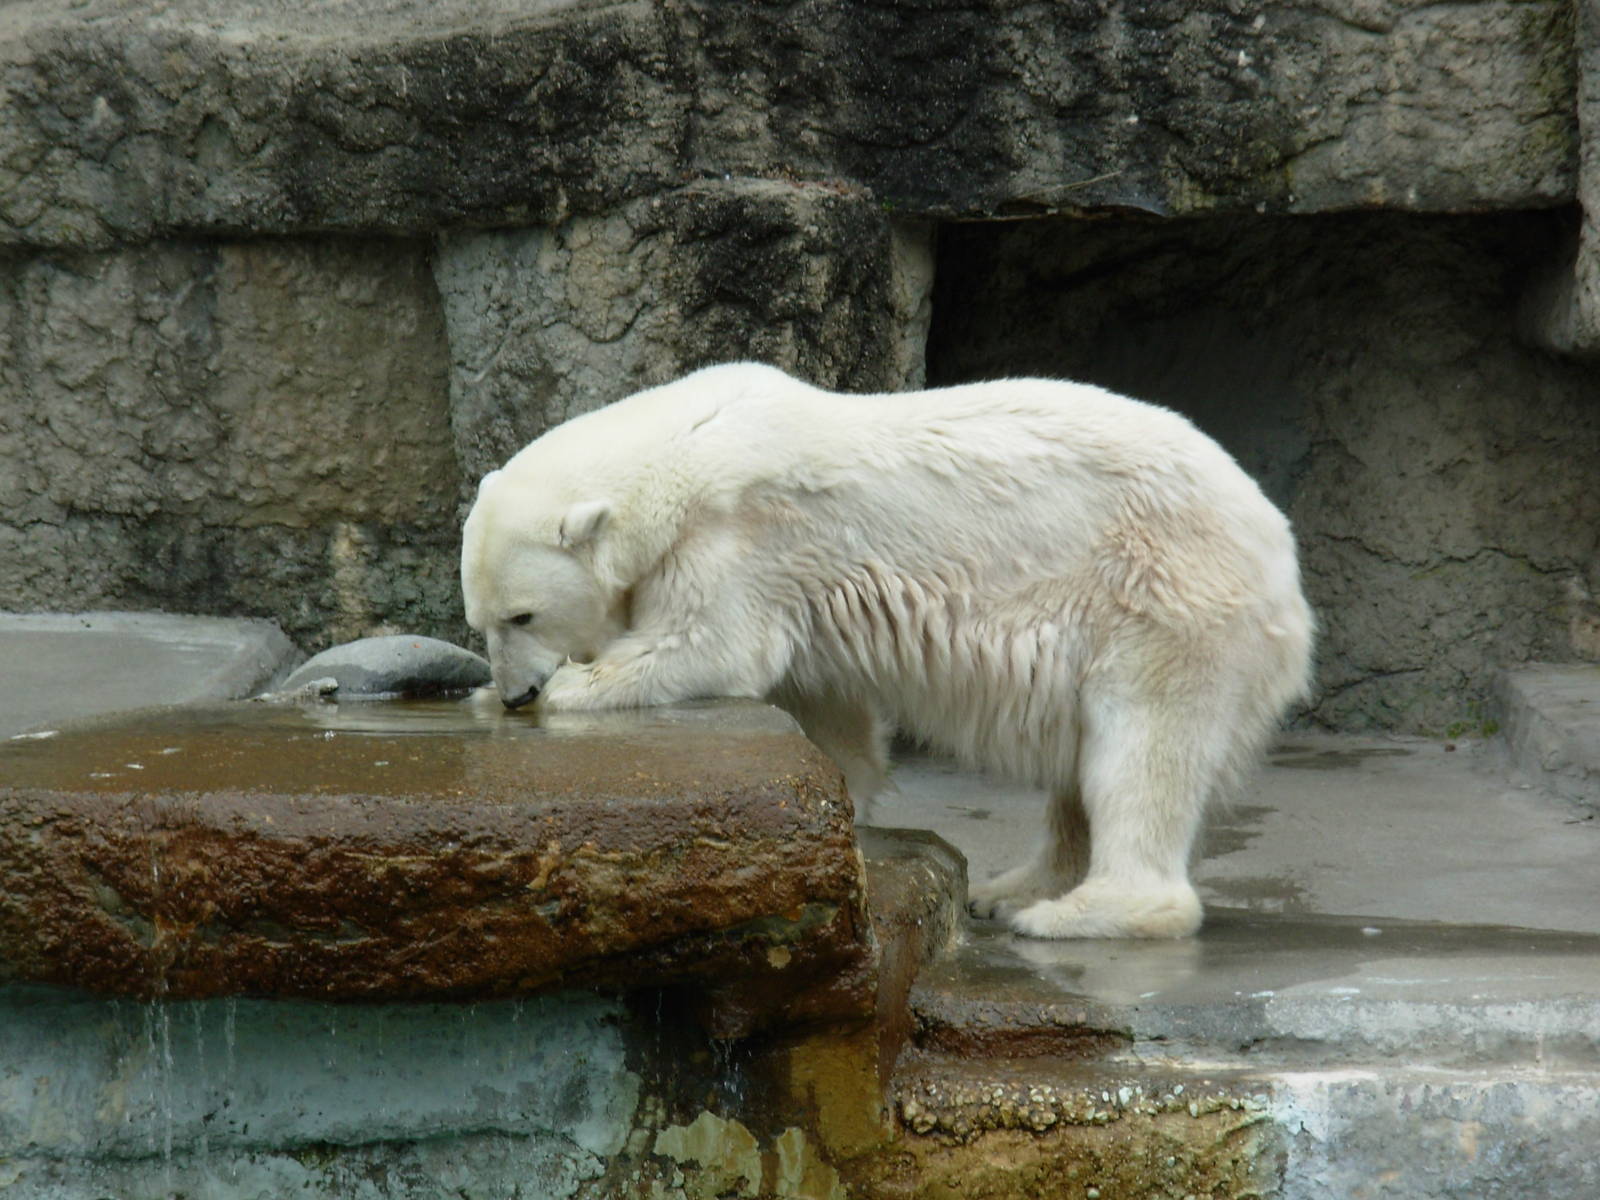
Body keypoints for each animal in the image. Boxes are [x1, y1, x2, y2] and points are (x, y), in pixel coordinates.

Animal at [460, 362, 1313, 939]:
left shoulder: (740, 538)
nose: (515, 694)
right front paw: (846, 789)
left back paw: (1080, 912)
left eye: (523, 614)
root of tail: (1279, 548)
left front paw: (576, 688)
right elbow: (823, 699)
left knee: (1142, 748)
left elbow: (711, 644)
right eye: (481, 622)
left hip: (1163, 598)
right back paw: (1015, 888)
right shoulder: (794, 582)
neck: (685, 451)